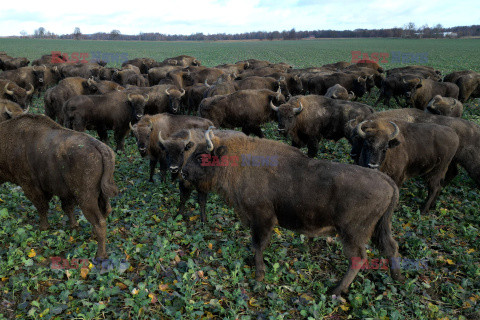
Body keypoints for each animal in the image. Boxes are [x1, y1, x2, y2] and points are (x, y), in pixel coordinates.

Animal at [0, 115, 119, 260]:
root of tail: (102, 148)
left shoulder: (30, 186)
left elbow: (42, 207)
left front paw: (43, 227)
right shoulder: (64, 192)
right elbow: (67, 208)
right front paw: (73, 226)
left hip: (86, 198)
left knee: (99, 221)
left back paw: (100, 254)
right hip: (102, 194)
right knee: (105, 211)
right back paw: (93, 236)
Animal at [180, 127, 402, 296]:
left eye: (201, 156)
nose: (183, 172)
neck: (238, 160)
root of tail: (387, 181)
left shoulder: (262, 219)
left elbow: (258, 245)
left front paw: (259, 277)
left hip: (351, 233)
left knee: (358, 258)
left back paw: (335, 290)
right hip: (379, 228)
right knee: (390, 247)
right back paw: (396, 278)